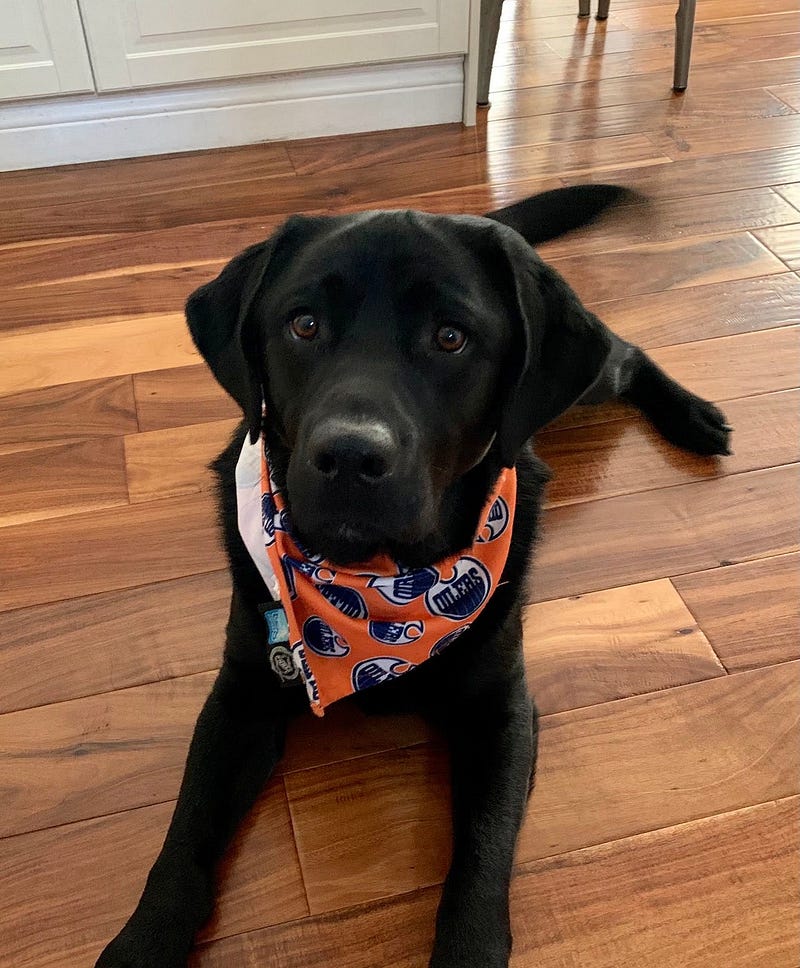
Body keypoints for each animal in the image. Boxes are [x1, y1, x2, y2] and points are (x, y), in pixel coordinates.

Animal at [95, 185, 732, 964]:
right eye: (304, 324)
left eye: (450, 338)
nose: (348, 456)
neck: (372, 588)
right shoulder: (241, 693)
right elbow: (183, 837)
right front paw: (139, 943)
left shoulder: (500, 709)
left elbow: (482, 857)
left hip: (582, 383)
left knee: (627, 353)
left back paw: (696, 417)